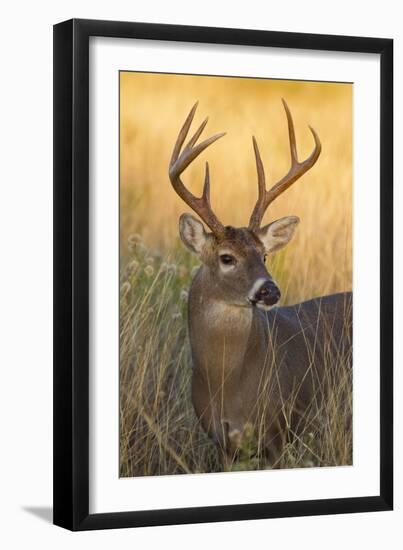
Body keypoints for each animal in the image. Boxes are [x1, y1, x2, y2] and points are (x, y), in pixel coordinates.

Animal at [169, 99, 352, 470]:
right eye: (226, 257)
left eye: (264, 255)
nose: (270, 290)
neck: (227, 384)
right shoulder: (221, 443)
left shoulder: (279, 431)